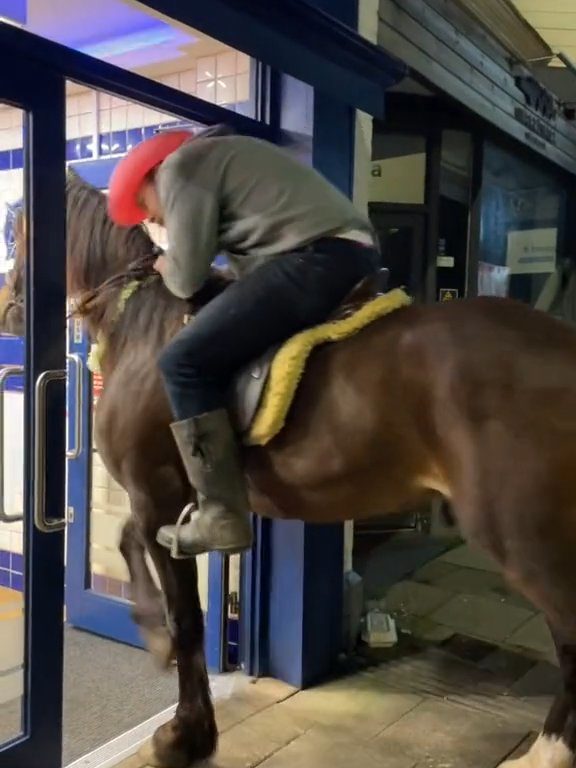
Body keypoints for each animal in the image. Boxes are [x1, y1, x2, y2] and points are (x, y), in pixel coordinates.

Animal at [12, 170, 576, 768]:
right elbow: (128, 542)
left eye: (16, 229)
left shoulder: (153, 489)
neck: (144, 324)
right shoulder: (169, 499)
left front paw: (185, 732)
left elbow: (185, 618)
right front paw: (154, 638)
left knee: (570, 634)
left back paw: (548, 751)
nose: (11, 309)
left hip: (523, 536)